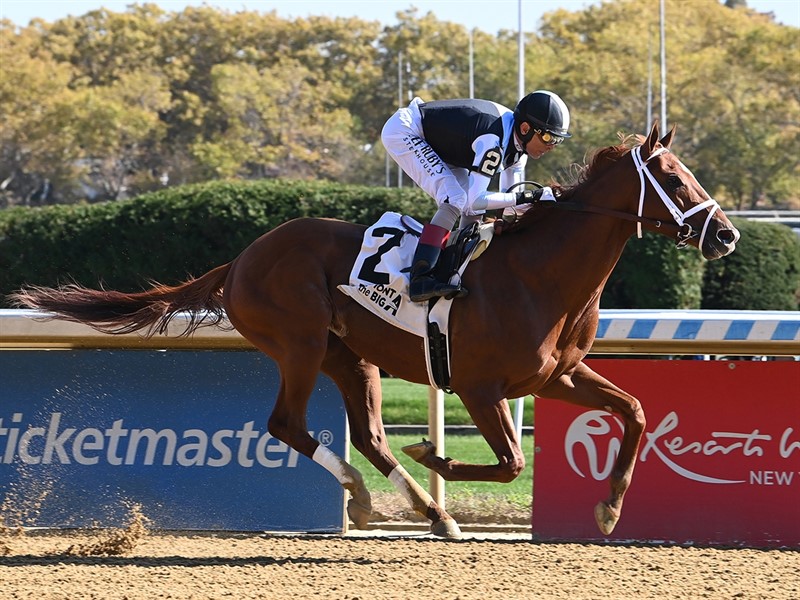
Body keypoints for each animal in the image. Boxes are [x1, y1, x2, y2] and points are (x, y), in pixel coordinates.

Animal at [10, 123, 740, 539]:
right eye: (673, 178)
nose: (727, 235)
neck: (539, 275)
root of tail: (241, 259)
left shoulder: (556, 375)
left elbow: (636, 411)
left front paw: (609, 510)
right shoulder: (479, 388)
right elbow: (511, 461)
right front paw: (438, 458)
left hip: (350, 356)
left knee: (366, 435)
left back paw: (421, 511)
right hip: (300, 343)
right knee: (288, 424)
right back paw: (382, 497)